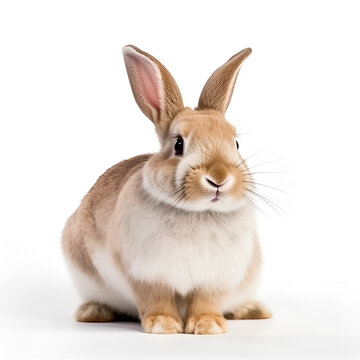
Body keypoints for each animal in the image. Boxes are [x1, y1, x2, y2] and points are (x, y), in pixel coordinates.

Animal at [61, 45, 270, 334]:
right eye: (178, 144)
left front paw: (208, 325)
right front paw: (164, 325)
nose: (219, 178)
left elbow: (206, 301)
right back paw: (94, 312)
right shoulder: (145, 275)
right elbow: (156, 299)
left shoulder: (216, 278)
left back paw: (253, 310)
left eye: (236, 144)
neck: (198, 212)